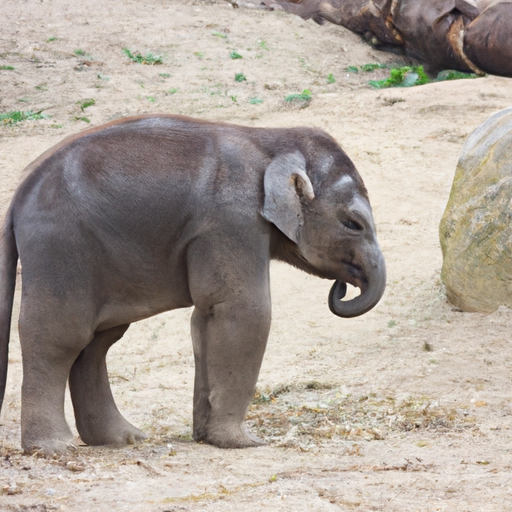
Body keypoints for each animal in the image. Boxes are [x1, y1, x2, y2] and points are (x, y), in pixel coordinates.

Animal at [0, 115, 386, 456]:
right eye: (353, 224)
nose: (342, 286)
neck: (272, 141)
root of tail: (16, 200)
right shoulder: (231, 220)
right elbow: (244, 312)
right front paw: (245, 443)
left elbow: (206, 318)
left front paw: (206, 437)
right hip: (59, 246)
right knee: (61, 336)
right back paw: (53, 448)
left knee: (98, 341)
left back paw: (124, 439)